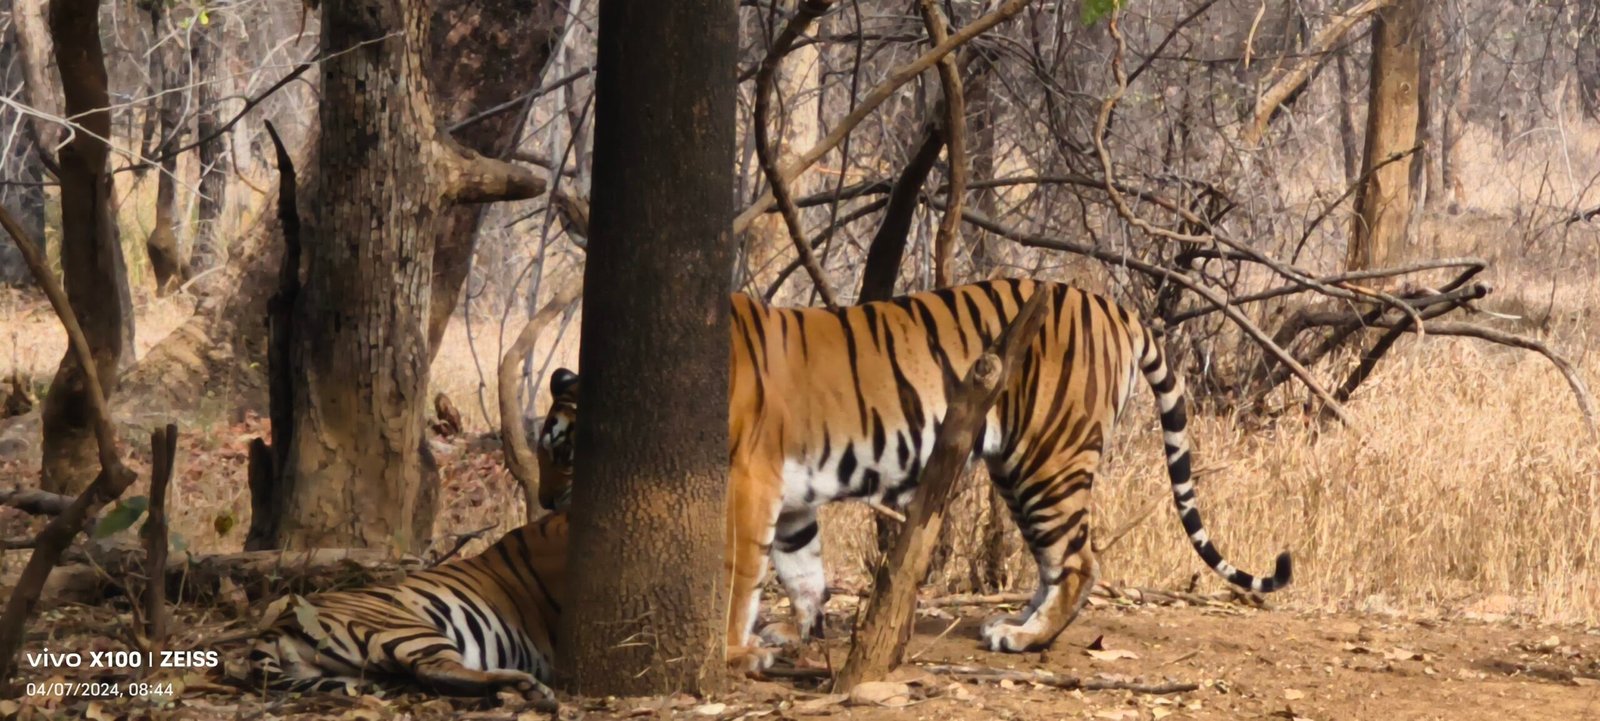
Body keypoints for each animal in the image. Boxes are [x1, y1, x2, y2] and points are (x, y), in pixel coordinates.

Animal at [537, 278, 1291, 666]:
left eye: (563, 450)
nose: (542, 502)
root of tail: (1108, 301)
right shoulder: (791, 497)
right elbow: (802, 571)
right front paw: (794, 634)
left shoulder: (746, 480)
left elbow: (737, 572)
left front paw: (731, 648)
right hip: (1023, 467)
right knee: (1058, 560)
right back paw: (1016, 621)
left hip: (1046, 456)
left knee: (1080, 560)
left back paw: (1026, 638)